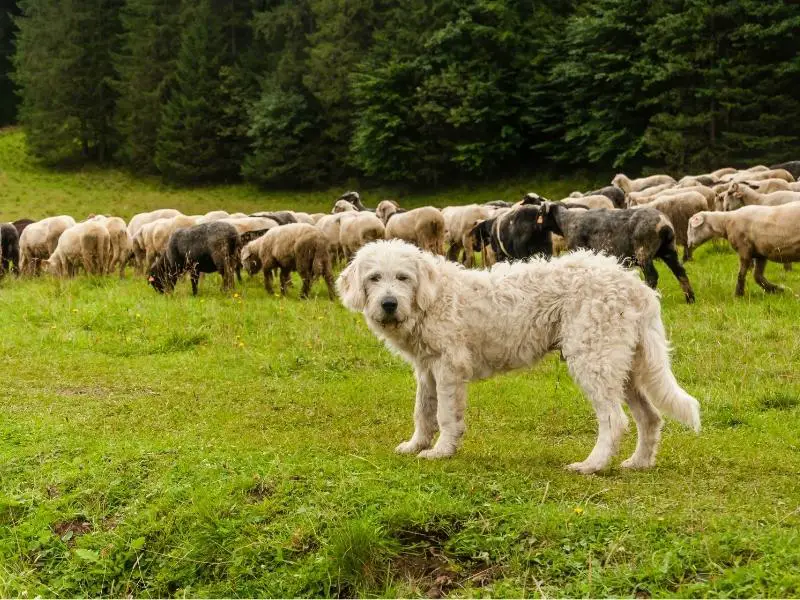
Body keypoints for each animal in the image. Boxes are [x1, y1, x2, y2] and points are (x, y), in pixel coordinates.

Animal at [338, 239, 700, 474]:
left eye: (403, 277)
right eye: (374, 278)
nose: (388, 304)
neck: (433, 297)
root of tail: (636, 286)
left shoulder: (449, 368)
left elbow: (445, 416)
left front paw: (441, 452)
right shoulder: (427, 369)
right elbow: (423, 412)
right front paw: (417, 445)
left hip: (594, 360)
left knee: (615, 420)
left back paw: (592, 465)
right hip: (622, 367)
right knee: (650, 418)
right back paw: (639, 463)